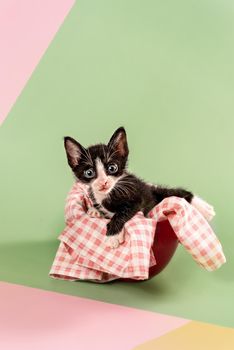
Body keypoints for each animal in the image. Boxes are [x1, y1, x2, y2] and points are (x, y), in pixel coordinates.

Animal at [64, 127, 216, 247]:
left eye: (112, 168)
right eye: (89, 172)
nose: (103, 182)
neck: (108, 193)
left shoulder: (136, 197)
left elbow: (121, 214)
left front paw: (112, 236)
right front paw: (94, 211)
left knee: (172, 192)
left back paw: (205, 208)